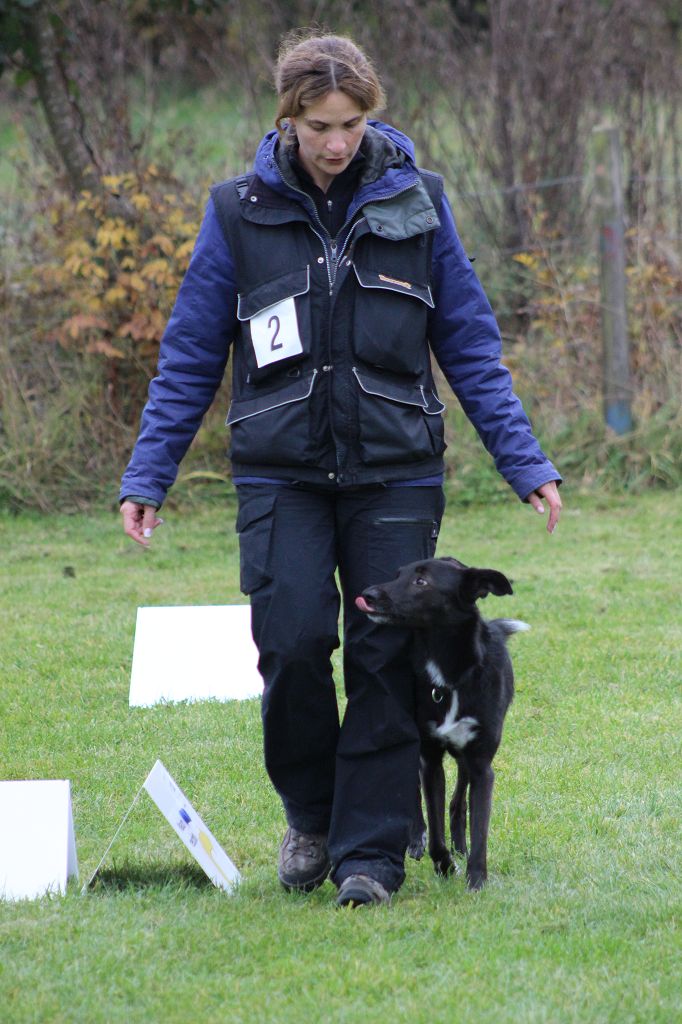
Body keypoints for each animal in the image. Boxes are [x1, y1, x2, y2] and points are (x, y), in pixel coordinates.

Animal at [355, 557, 528, 890]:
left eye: (421, 582)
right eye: (398, 575)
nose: (368, 594)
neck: (449, 676)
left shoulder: (481, 765)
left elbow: (479, 828)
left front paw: (476, 880)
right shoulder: (431, 760)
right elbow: (435, 833)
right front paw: (444, 866)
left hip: (465, 759)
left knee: (458, 801)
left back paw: (460, 845)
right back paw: (417, 839)